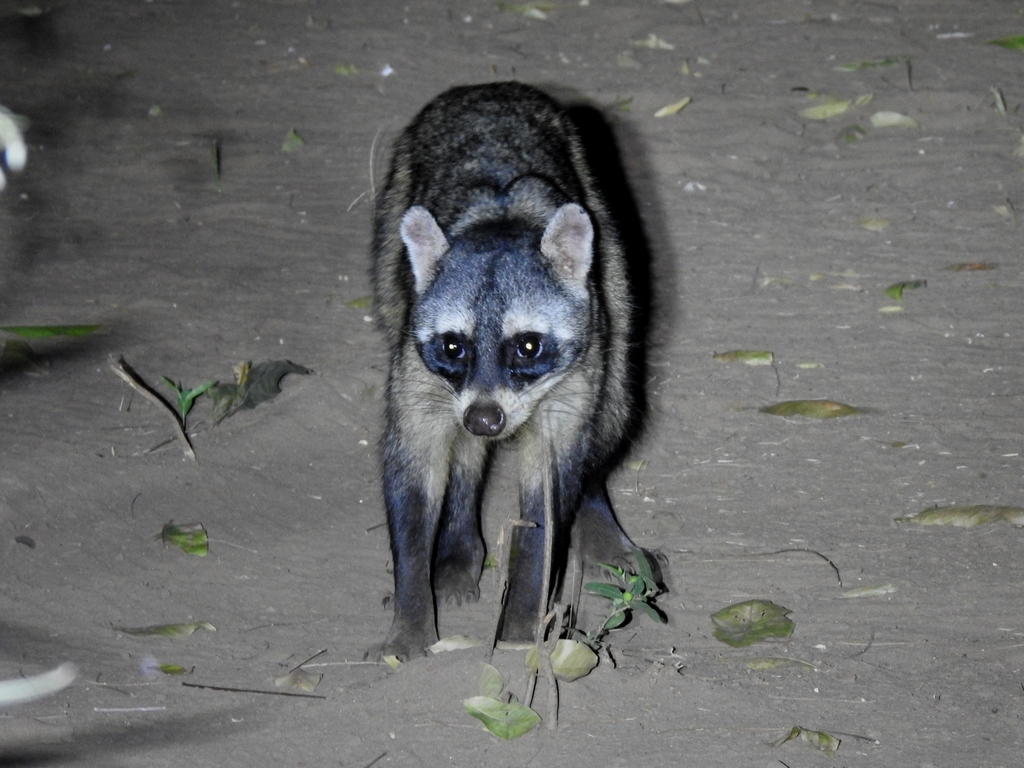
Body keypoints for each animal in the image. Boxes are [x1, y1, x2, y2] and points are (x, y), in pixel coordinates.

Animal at [369, 82, 645, 660]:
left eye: (528, 346)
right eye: (453, 345)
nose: (485, 420)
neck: (497, 222)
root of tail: (488, 88)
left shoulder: (576, 368)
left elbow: (549, 492)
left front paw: (520, 624)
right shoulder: (419, 367)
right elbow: (413, 468)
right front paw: (411, 609)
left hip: (610, 260)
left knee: (613, 411)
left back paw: (593, 506)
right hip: (388, 244)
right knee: (464, 452)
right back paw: (458, 542)